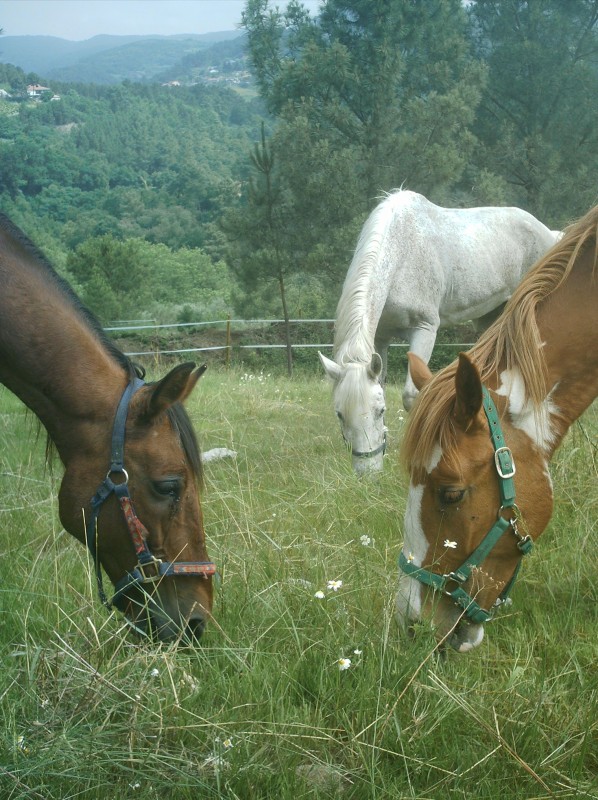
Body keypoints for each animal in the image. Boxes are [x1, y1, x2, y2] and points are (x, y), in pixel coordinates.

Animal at [322, 190, 560, 472]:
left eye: (379, 411)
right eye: (339, 414)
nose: (368, 472)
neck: (400, 254)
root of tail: (548, 232)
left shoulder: (424, 329)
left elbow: (412, 396)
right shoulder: (381, 338)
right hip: (491, 316)